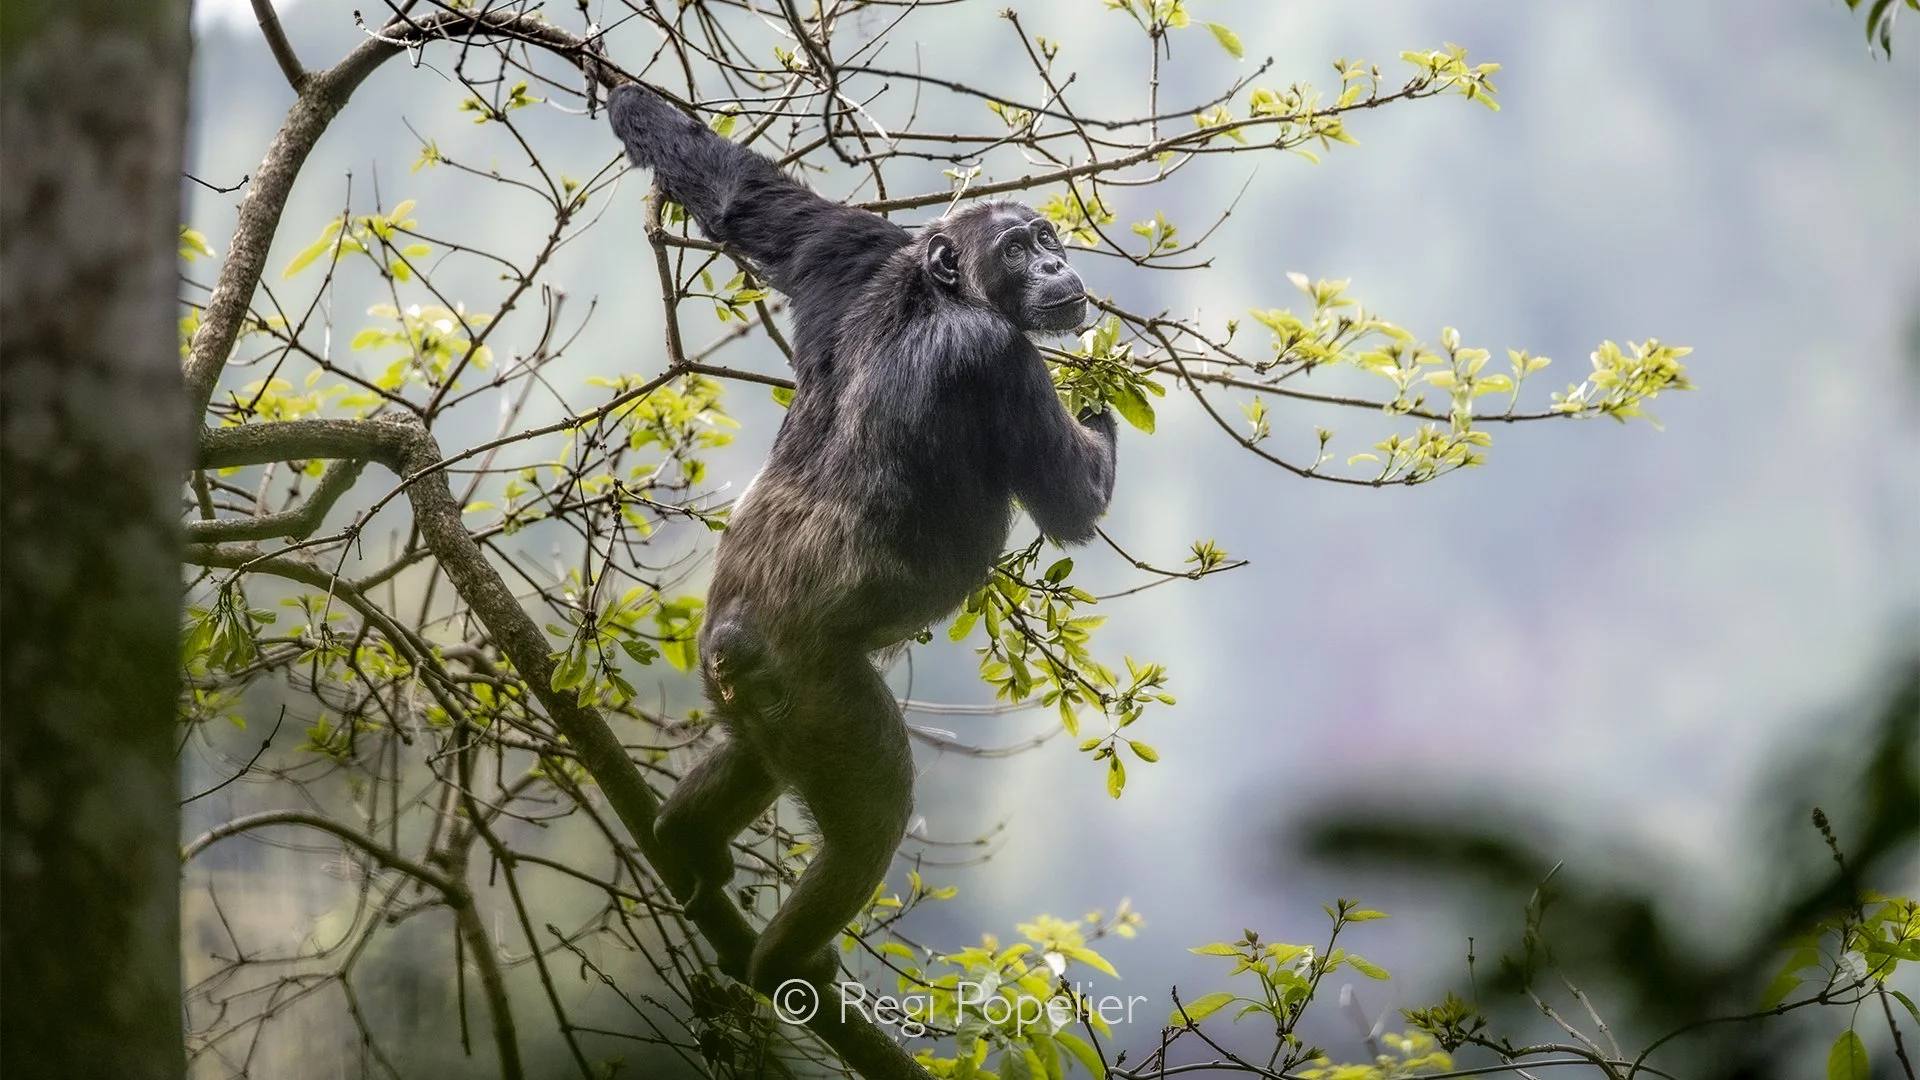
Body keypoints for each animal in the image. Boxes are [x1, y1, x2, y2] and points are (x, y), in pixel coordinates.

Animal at [608, 81, 1117, 994]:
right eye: (1019, 248)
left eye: (1047, 235)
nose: (1057, 264)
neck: (934, 294)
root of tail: (731, 640)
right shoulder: (996, 355)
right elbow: (1071, 503)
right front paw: (1098, 406)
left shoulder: (849, 247)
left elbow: (742, 196)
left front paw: (626, 96)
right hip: (821, 699)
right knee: (871, 816)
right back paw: (785, 964)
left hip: (742, 695)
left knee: (749, 761)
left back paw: (683, 843)